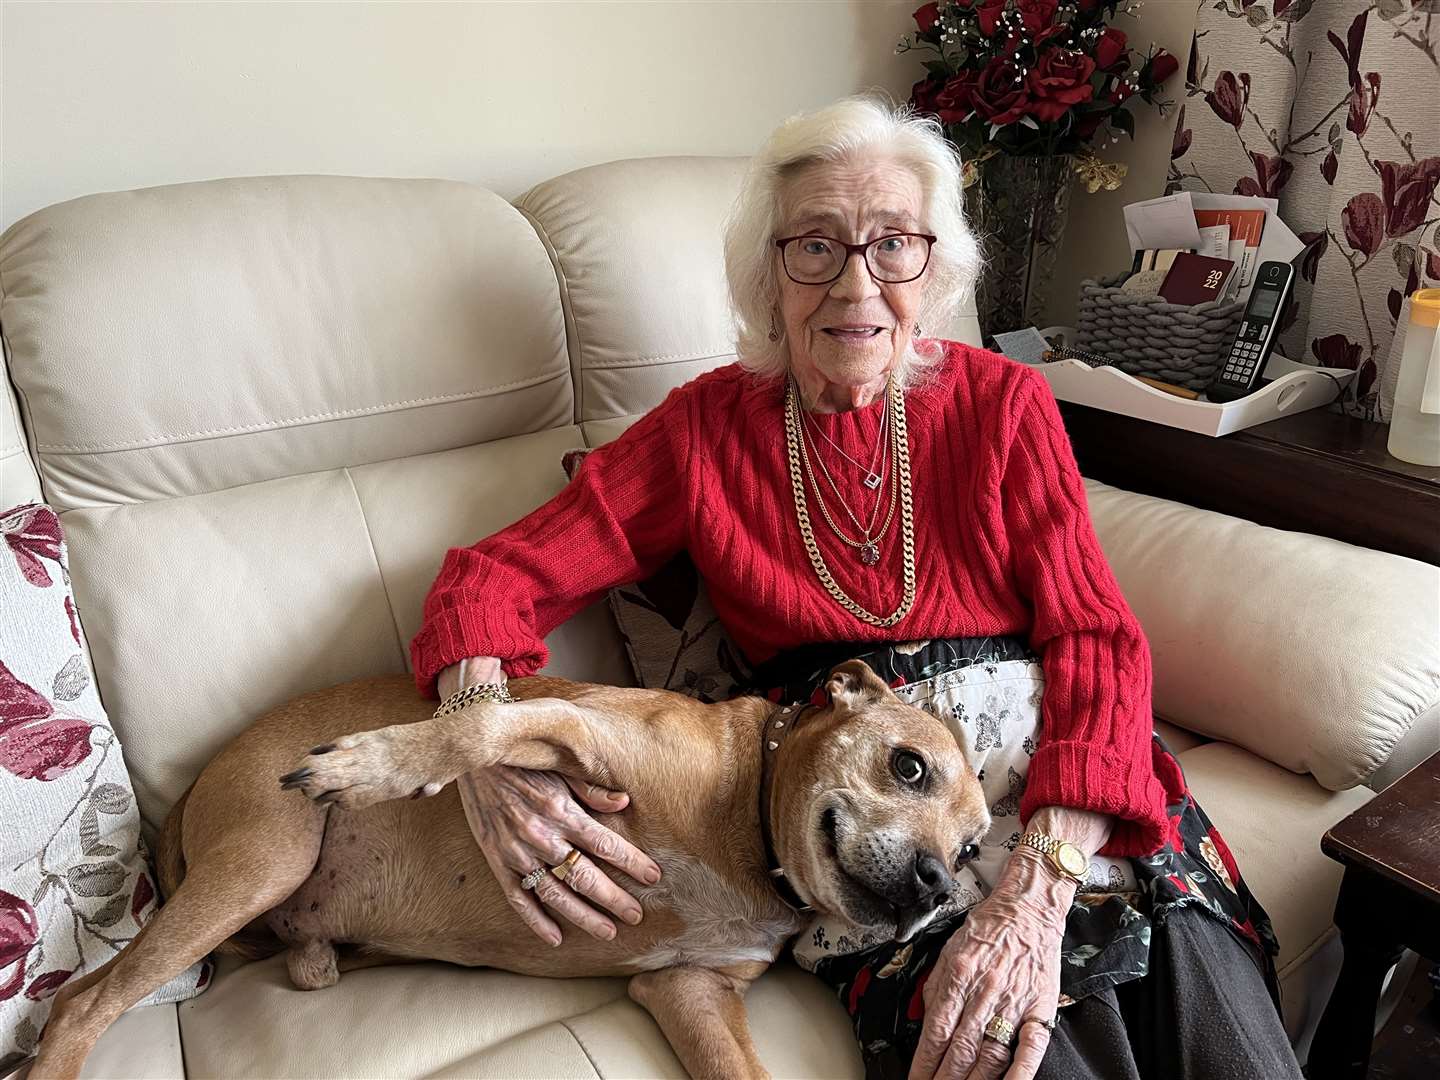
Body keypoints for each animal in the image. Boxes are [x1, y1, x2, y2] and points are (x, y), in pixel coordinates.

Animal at [33, 659, 990, 1080]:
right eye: (909, 766)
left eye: (974, 848)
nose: (939, 887)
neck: (750, 820)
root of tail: (195, 785)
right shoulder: (573, 733)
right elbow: (478, 726)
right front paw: (376, 764)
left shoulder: (689, 990)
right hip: (265, 859)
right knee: (81, 1004)